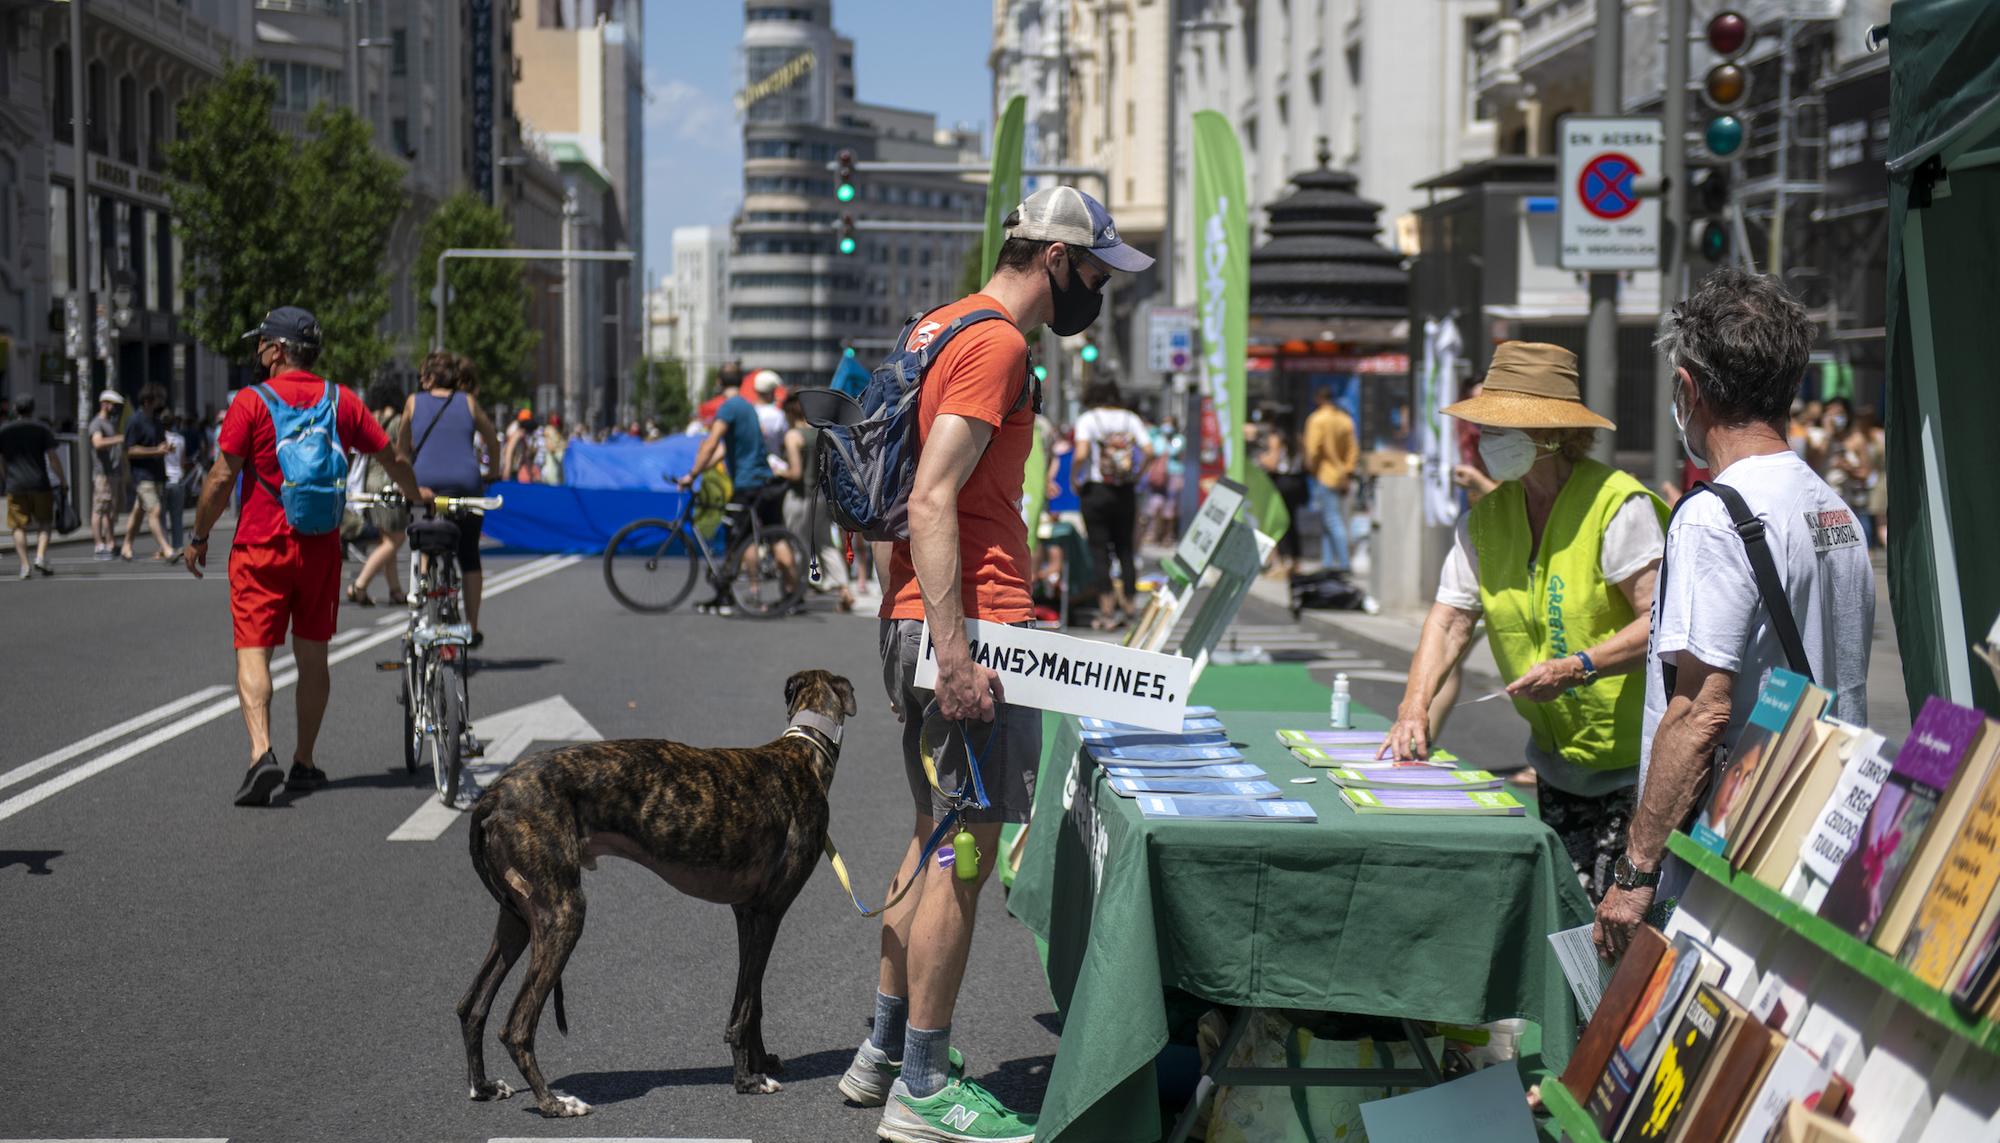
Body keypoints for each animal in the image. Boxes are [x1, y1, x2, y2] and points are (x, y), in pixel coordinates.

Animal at [458, 663, 856, 1119]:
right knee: (517, 1025)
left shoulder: (747, 913)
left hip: (519, 917)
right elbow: (745, 1008)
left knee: (471, 1006)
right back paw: (553, 1103)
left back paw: (484, 1086)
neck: (802, 753)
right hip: (562, 913)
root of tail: (491, 797)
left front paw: (761, 1062)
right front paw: (747, 1080)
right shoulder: (768, 912)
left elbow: (751, 998)